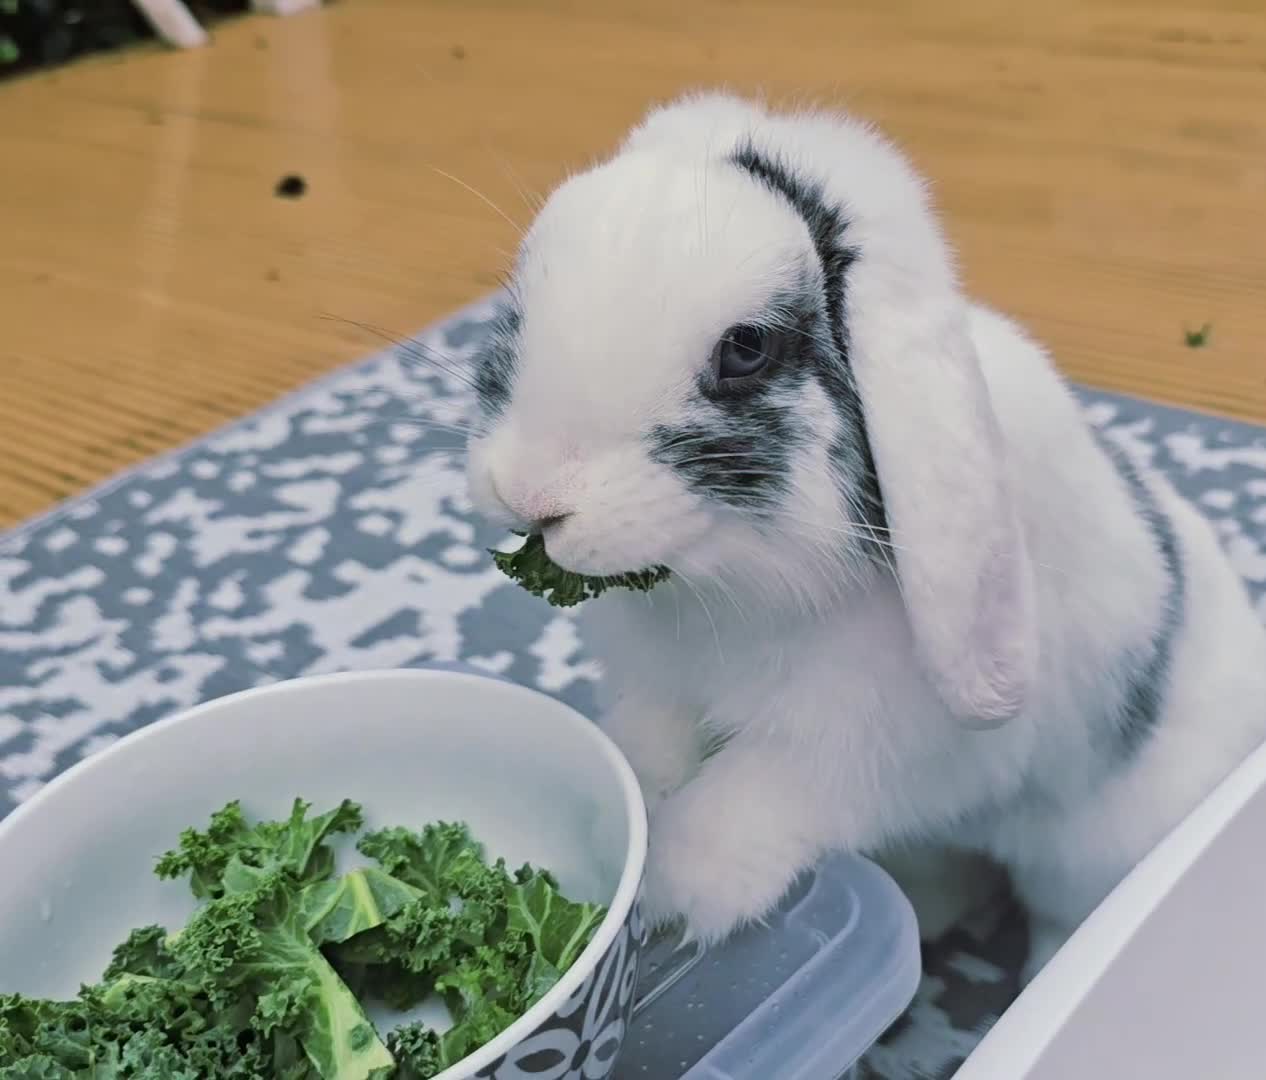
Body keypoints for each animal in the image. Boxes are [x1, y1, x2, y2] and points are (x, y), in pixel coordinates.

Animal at [464, 92, 1266, 985]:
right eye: (523, 294)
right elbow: (655, 748)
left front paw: (677, 888)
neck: (727, 592)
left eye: (746, 348)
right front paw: (639, 797)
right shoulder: (659, 689)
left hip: (1091, 846)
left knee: (1065, 912)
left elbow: (754, 797)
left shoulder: (867, 745)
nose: (530, 492)